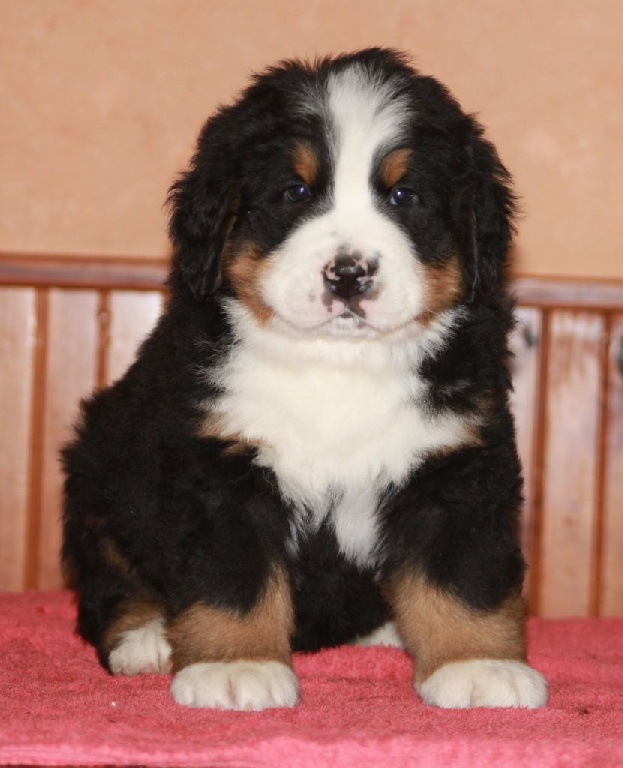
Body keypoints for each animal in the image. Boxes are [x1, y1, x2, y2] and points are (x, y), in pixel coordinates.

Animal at [62, 46, 544, 708]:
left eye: (405, 196)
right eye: (294, 191)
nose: (349, 273)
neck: (337, 365)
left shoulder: (455, 464)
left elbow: (462, 576)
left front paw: (477, 664)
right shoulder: (219, 467)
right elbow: (233, 581)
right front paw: (235, 666)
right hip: (101, 475)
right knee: (110, 580)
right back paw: (148, 636)